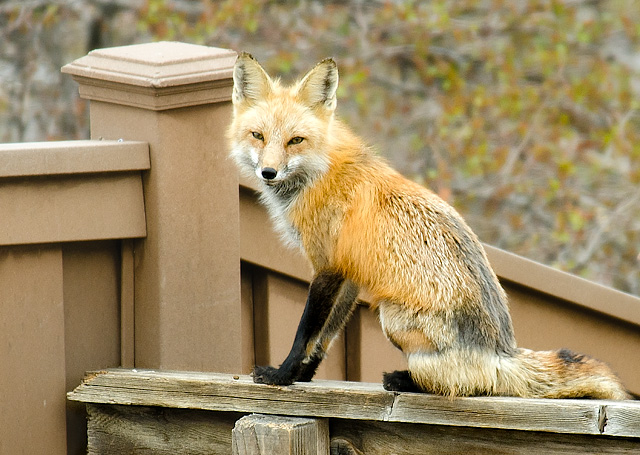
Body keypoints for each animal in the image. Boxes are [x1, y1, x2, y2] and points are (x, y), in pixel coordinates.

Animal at [226, 52, 632, 400]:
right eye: (258, 136)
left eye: (296, 140)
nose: (268, 172)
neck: (320, 173)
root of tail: (502, 351)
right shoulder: (349, 273)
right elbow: (326, 336)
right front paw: (303, 376)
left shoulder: (327, 267)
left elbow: (305, 331)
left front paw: (281, 376)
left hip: (392, 318)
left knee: (465, 384)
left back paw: (405, 380)